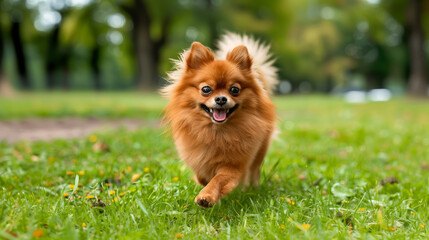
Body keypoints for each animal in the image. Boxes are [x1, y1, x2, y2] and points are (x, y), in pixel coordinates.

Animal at [160, 32, 278, 208]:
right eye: (206, 89)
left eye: (234, 89)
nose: (221, 99)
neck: (216, 132)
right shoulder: (197, 158)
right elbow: (201, 174)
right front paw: (204, 182)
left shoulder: (234, 166)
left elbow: (218, 179)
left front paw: (206, 196)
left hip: (259, 153)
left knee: (254, 171)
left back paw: (252, 188)